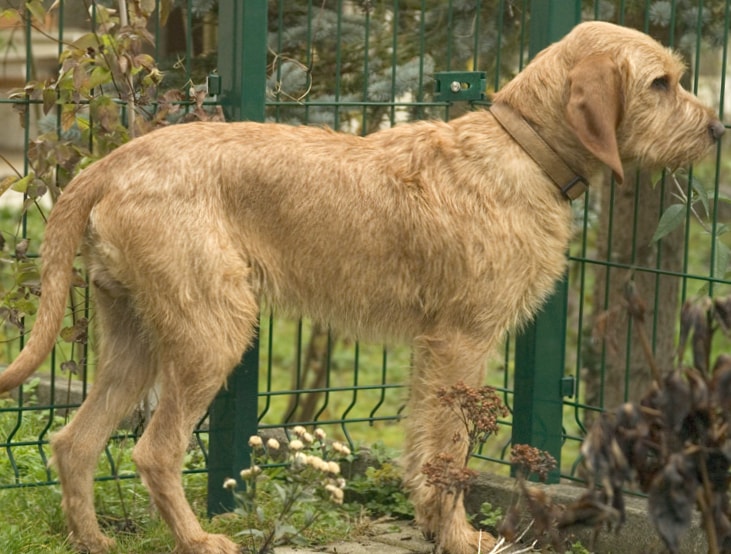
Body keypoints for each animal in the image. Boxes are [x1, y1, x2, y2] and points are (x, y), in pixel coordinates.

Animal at [0, 21, 724, 552]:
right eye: (660, 83)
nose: (718, 129)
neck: (522, 150)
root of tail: (114, 161)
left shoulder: (433, 353)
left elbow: (425, 447)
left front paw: (435, 526)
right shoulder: (463, 343)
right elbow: (453, 452)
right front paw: (458, 536)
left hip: (135, 341)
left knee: (75, 442)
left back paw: (94, 541)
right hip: (212, 333)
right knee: (154, 451)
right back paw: (200, 540)